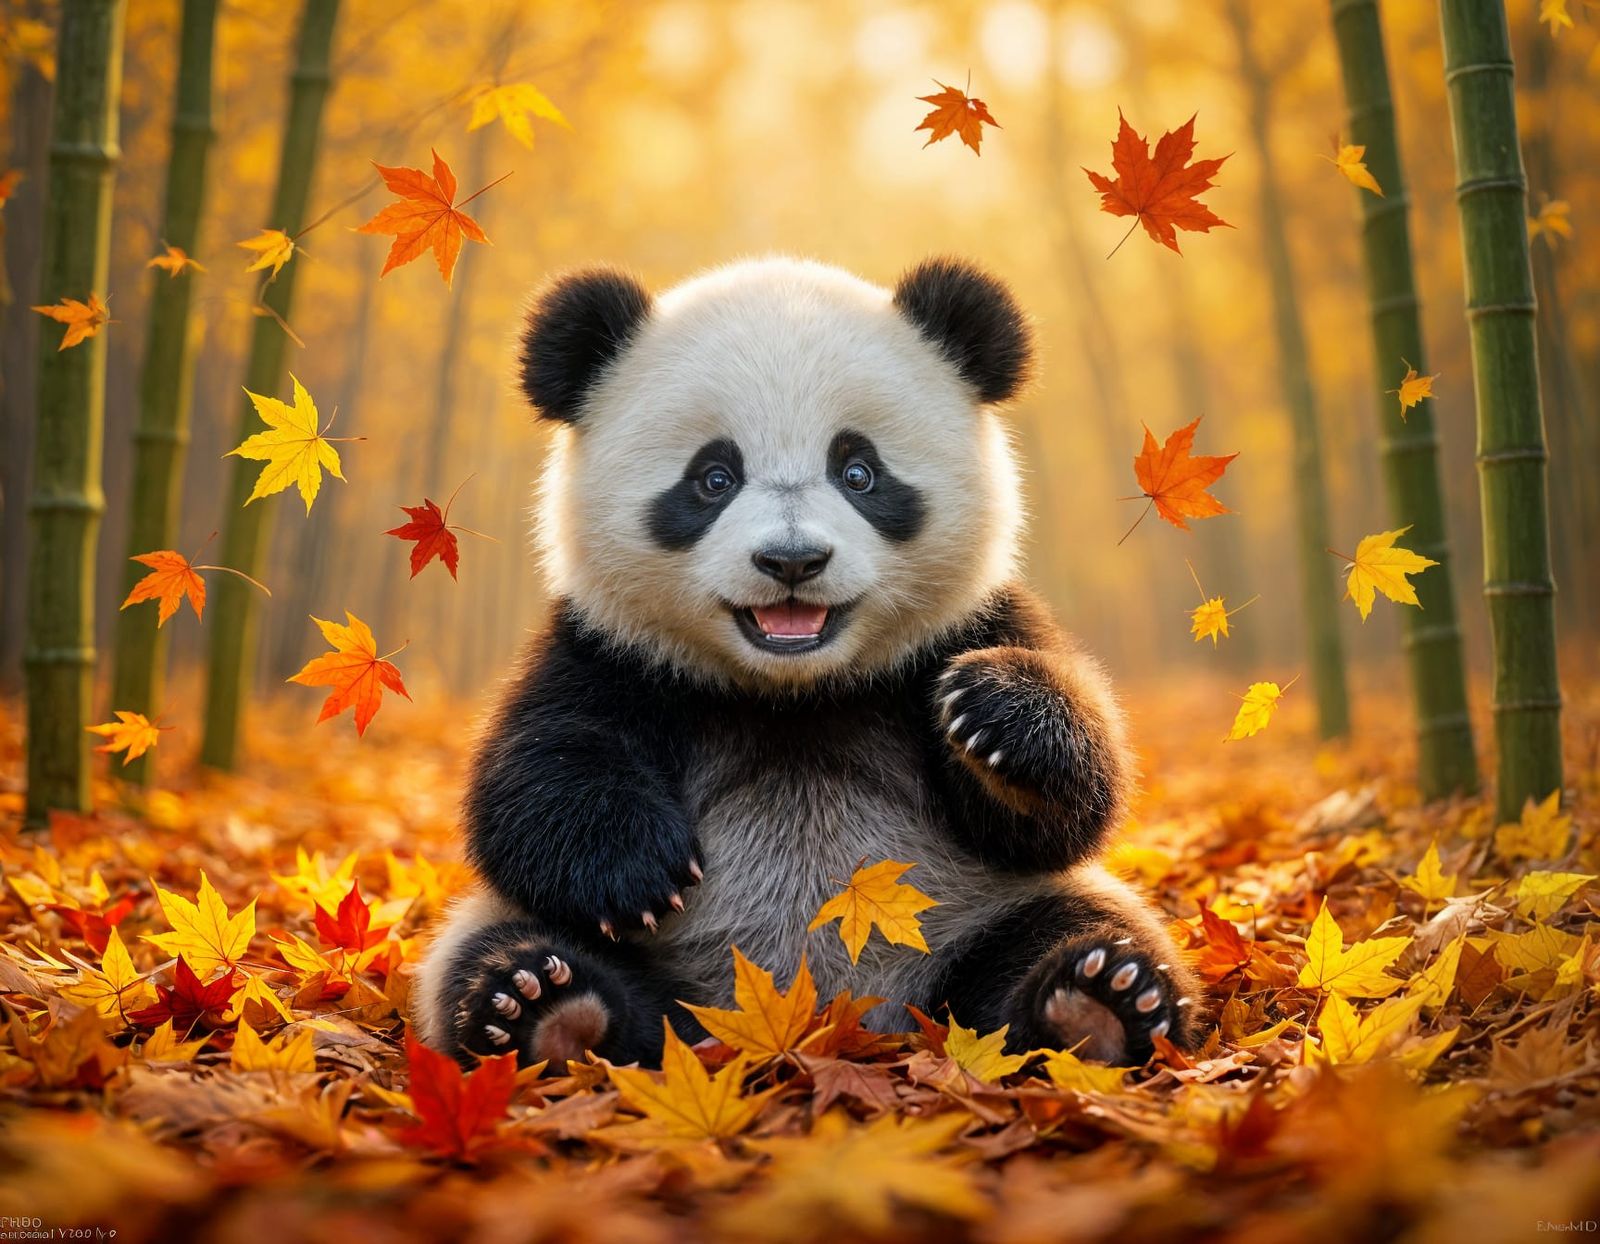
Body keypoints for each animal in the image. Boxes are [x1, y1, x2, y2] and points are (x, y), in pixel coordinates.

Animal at [411, 256, 1202, 1071]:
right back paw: (547, 1007)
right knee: (499, 947)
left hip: (985, 910)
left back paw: (1096, 1001)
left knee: (1072, 925)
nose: (792, 560)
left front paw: (993, 717)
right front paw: (634, 868)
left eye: (859, 472)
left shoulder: (969, 624)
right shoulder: (607, 648)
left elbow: (1076, 803)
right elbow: (528, 777)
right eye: (713, 478)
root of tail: (852, 1017)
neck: (795, 691)